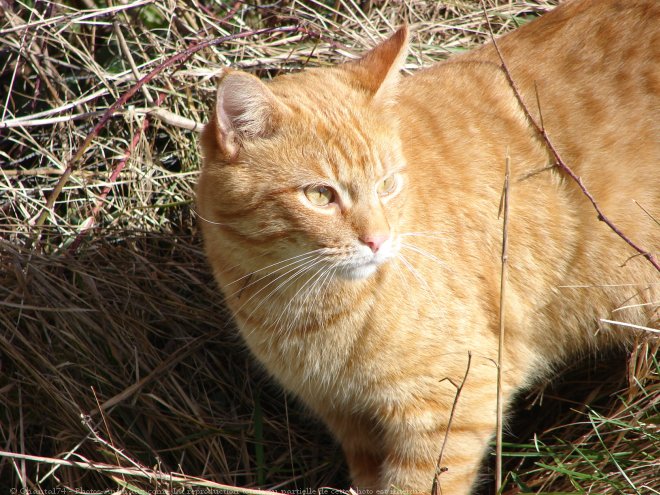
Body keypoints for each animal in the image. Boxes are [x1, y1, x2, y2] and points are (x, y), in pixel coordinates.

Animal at [197, 0, 660, 492]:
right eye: (320, 195)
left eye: (387, 185)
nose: (378, 240)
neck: (299, 308)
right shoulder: (350, 422)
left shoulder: (452, 404)